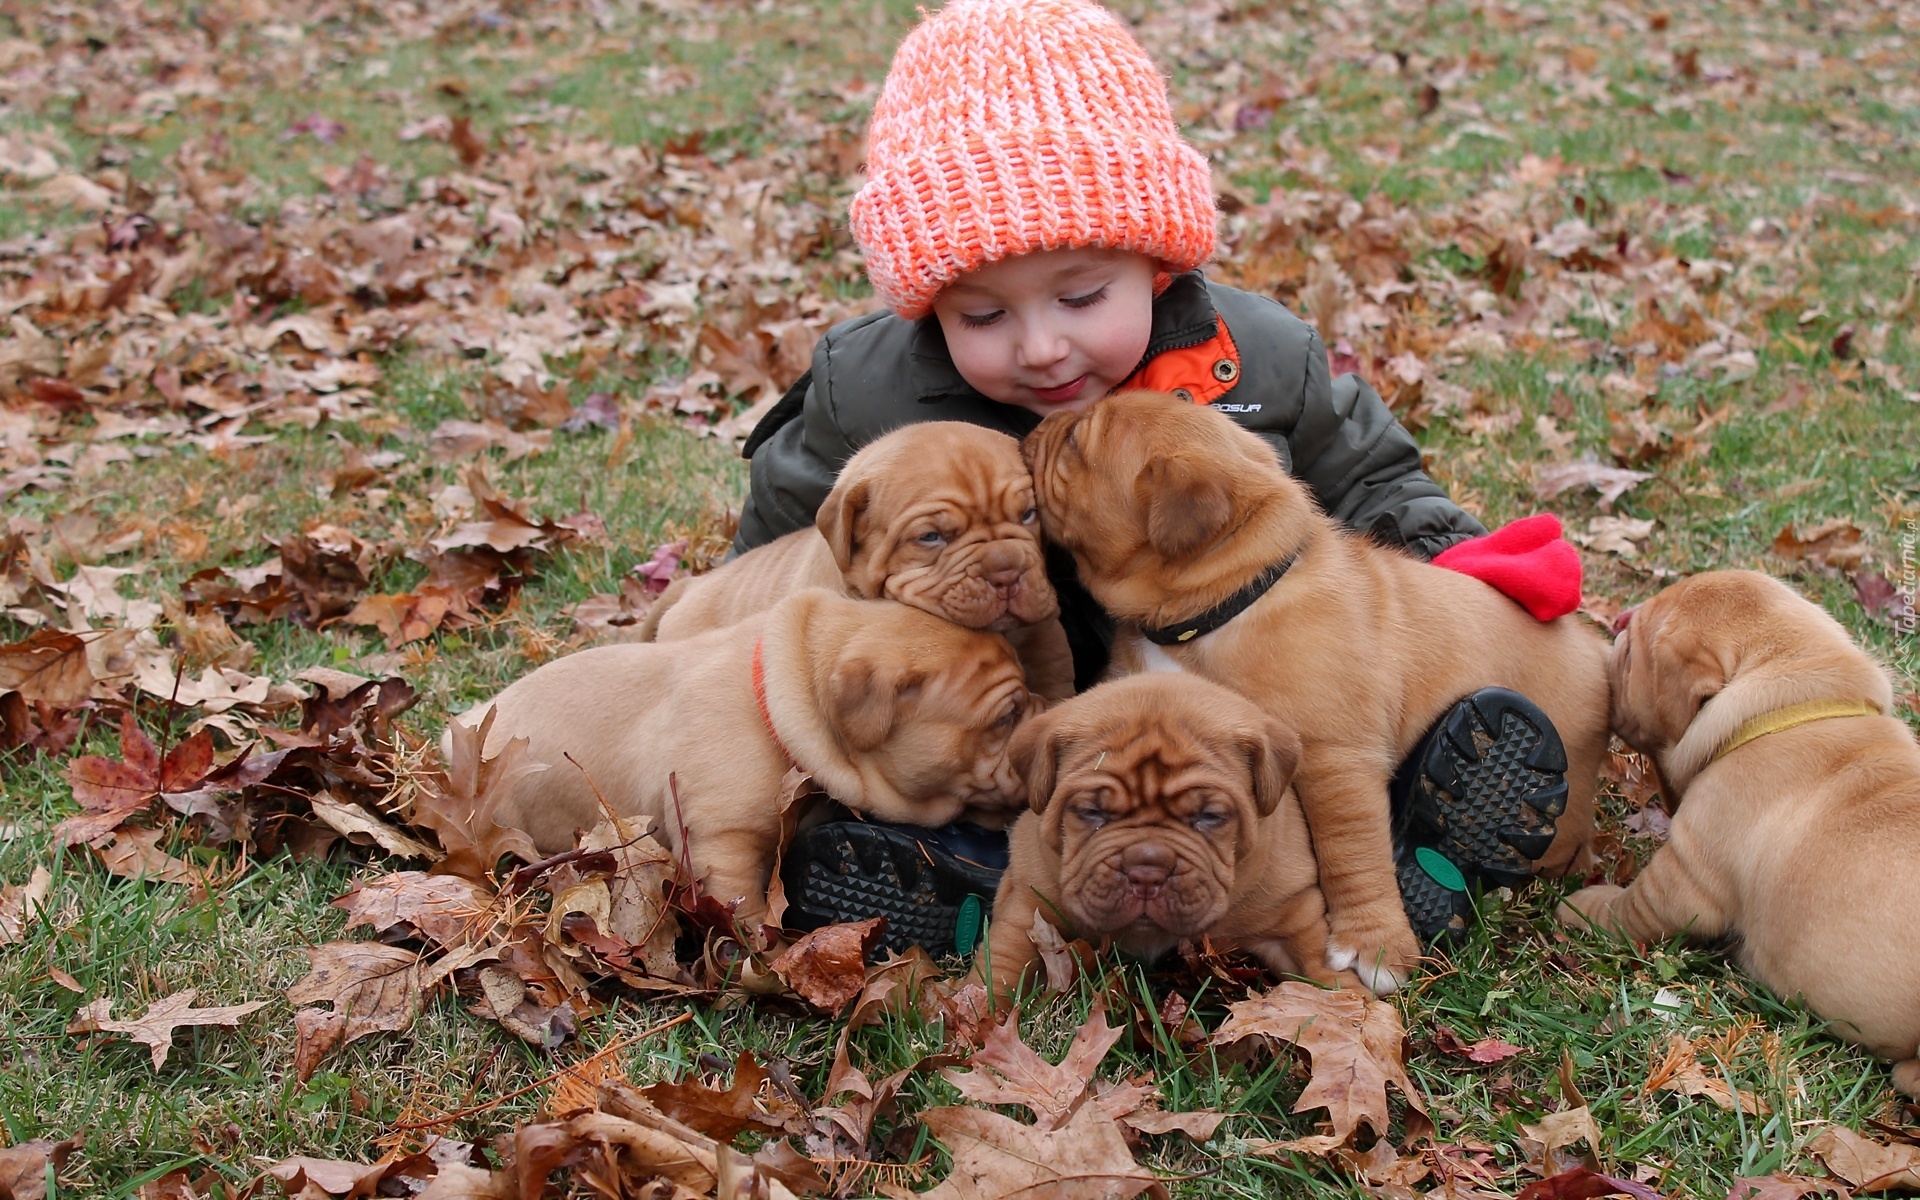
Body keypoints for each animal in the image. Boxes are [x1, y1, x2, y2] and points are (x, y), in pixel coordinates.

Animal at [456, 587, 1036, 925]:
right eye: (1006, 717)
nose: (1043, 710)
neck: (781, 702)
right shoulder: (722, 840)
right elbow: (742, 901)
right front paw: (764, 948)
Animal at [990, 675, 1351, 990]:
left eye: (1209, 816)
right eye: (1092, 812)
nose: (1147, 871)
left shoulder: (1293, 912)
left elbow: (1323, 969)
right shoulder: (1028, 905)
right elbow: (1001, 969)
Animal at [1029, 391, 1612, 990]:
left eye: (1076, 441)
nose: (1041, 425)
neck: (1226, 602)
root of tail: (1598, 649)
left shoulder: (1335, 759)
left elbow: (1351, 852)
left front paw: (1374, 945)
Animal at [1559, 572, 1920, 1098]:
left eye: (1632, 653)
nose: (1620, 619)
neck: (1789, 705)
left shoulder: (1685, 876)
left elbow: (1628, 908)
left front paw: (1580, 905)